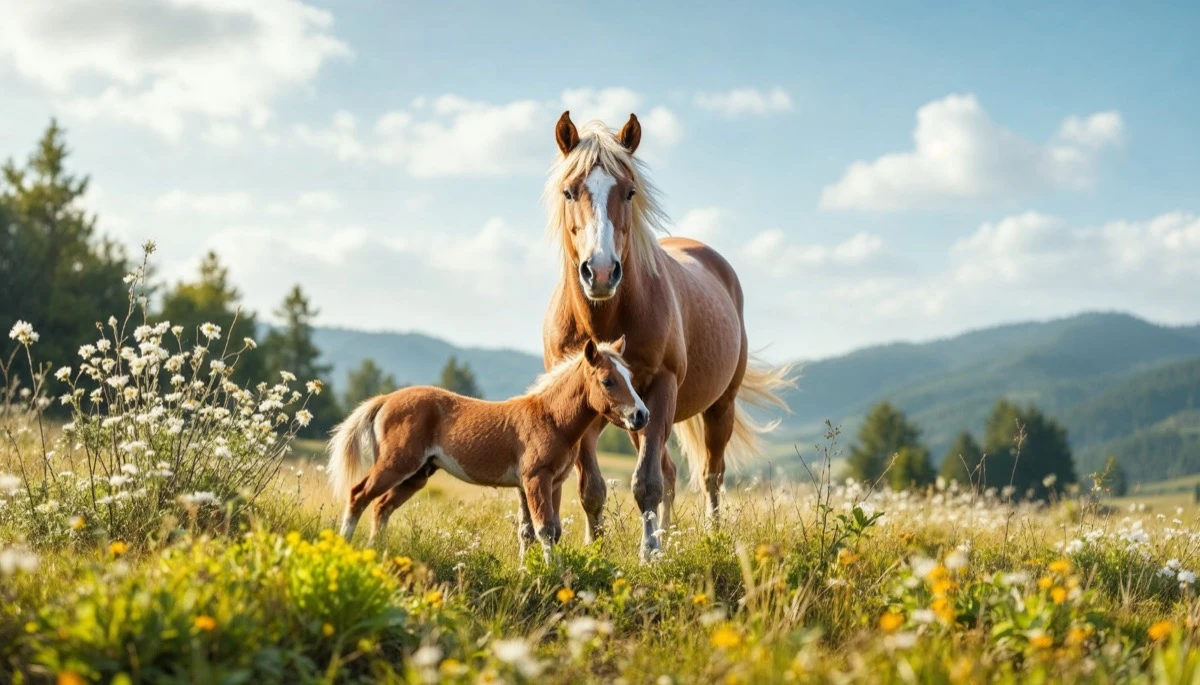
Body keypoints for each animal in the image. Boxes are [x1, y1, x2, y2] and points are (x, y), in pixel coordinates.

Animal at [327, 337, 647, 561]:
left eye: (631, 378)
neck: (550, 417)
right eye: (608, 380)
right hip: (396, 464)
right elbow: (544, 530)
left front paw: (530, 572)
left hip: (416, 474)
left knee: (381, 506)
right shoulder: (536, 479)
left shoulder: (550, 483)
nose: (641, 415)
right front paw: (552, 576)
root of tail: (384, 400)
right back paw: (345, 547)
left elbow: (543, 532)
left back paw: (374, 553)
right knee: (358, 494)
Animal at [541, 111, 794, 560]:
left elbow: (646, 484)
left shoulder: (662, 387)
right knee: (671, 471)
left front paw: (650, 553)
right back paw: (669, 531)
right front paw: (596, 549)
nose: (601, 272)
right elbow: (591, 487)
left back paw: (709, 534)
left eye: (629, 192)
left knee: (710, 474)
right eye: (569, 191)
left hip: (717, 407)